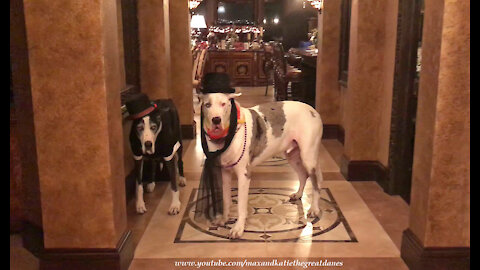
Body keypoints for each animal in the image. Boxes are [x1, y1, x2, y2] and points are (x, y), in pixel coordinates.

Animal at [199, 92, 322, 238]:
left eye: (224, 104)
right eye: (207, 105)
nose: (216, 120)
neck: (231, 132)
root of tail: (313, 110)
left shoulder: (244, 176)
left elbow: (241, 206)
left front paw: (238, 228)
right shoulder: (226, 173)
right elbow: (226, 200)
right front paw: (224, 219)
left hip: (308, 157)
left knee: (315, 183)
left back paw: (314, 209)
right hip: (293, 156)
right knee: (303, 175)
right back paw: (298, 194)